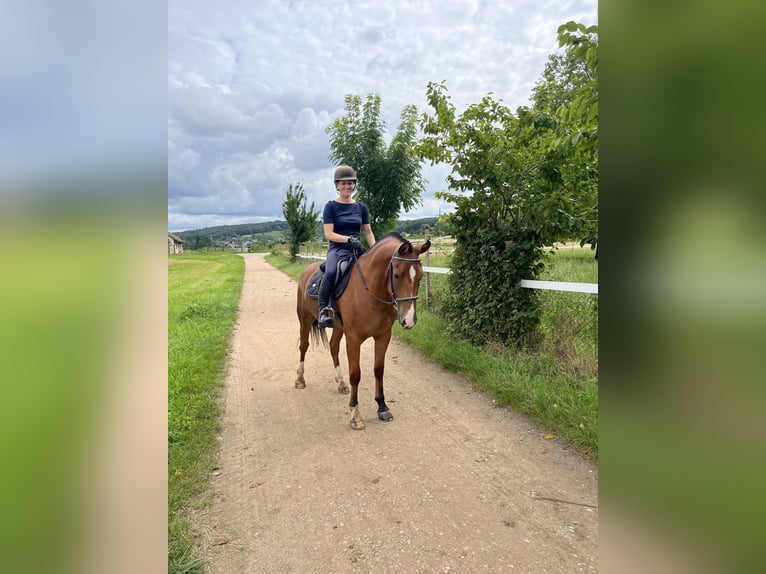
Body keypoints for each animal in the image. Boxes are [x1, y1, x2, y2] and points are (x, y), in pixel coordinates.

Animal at [296, 234, 432, 432]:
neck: (371, 291)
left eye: (420, 276)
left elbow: (378, 370)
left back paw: (341, 383)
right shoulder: (354, 339)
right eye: (397, 275)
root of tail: (307, 271)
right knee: (303, 347)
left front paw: (382, 407)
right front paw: (355, 414)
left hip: (338, 327)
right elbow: (355, 374)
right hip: (304, 320)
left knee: (333, 348)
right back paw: (300, 379)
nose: (409, 320)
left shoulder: (383, 336)